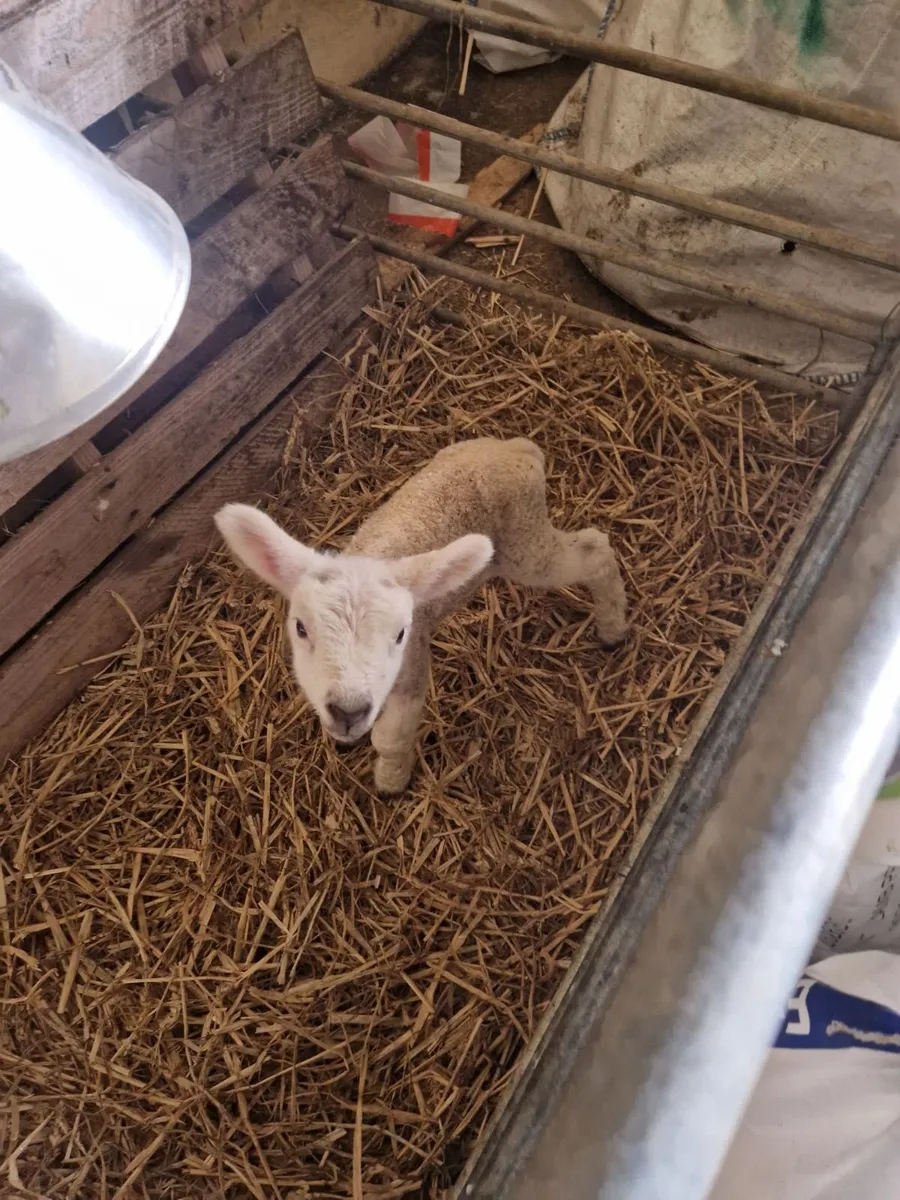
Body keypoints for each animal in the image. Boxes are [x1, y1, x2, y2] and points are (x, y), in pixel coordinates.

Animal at [215, 436, 628, 794]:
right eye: (300, 628)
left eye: (400, 634)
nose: (349, 711)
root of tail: (518, 449)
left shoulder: (411, 670)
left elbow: (390, 738)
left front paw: (391, 782)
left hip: (526, 543)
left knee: (593, 551)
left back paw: (613, 629)